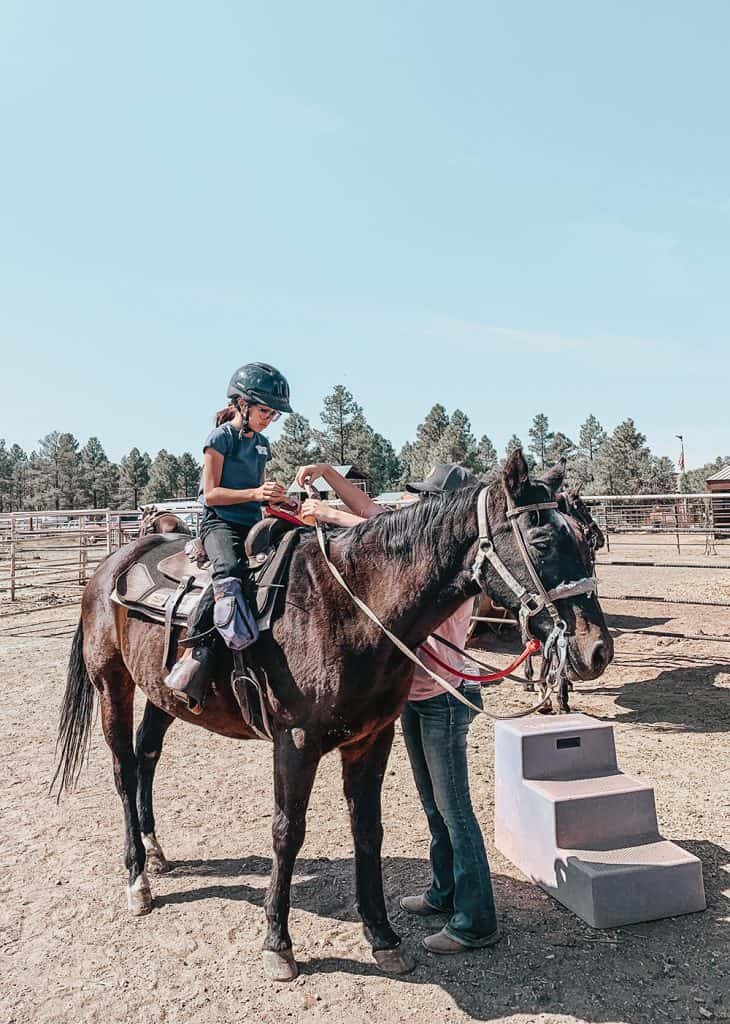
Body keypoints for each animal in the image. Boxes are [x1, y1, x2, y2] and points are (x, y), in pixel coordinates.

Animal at [54, 452, 610, 978]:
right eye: (542, 542)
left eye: (584, 540)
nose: (597, 650)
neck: (351, 606)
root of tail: (112, 564)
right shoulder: (295, 741)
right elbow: (287, 832)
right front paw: (277, 944)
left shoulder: (372, 738)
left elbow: (367, 828)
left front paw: (382, 935)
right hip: (112, 686)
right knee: (125, 770)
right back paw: (137, 879)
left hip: (160, 694)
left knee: (147, 754)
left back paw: (156, 850)